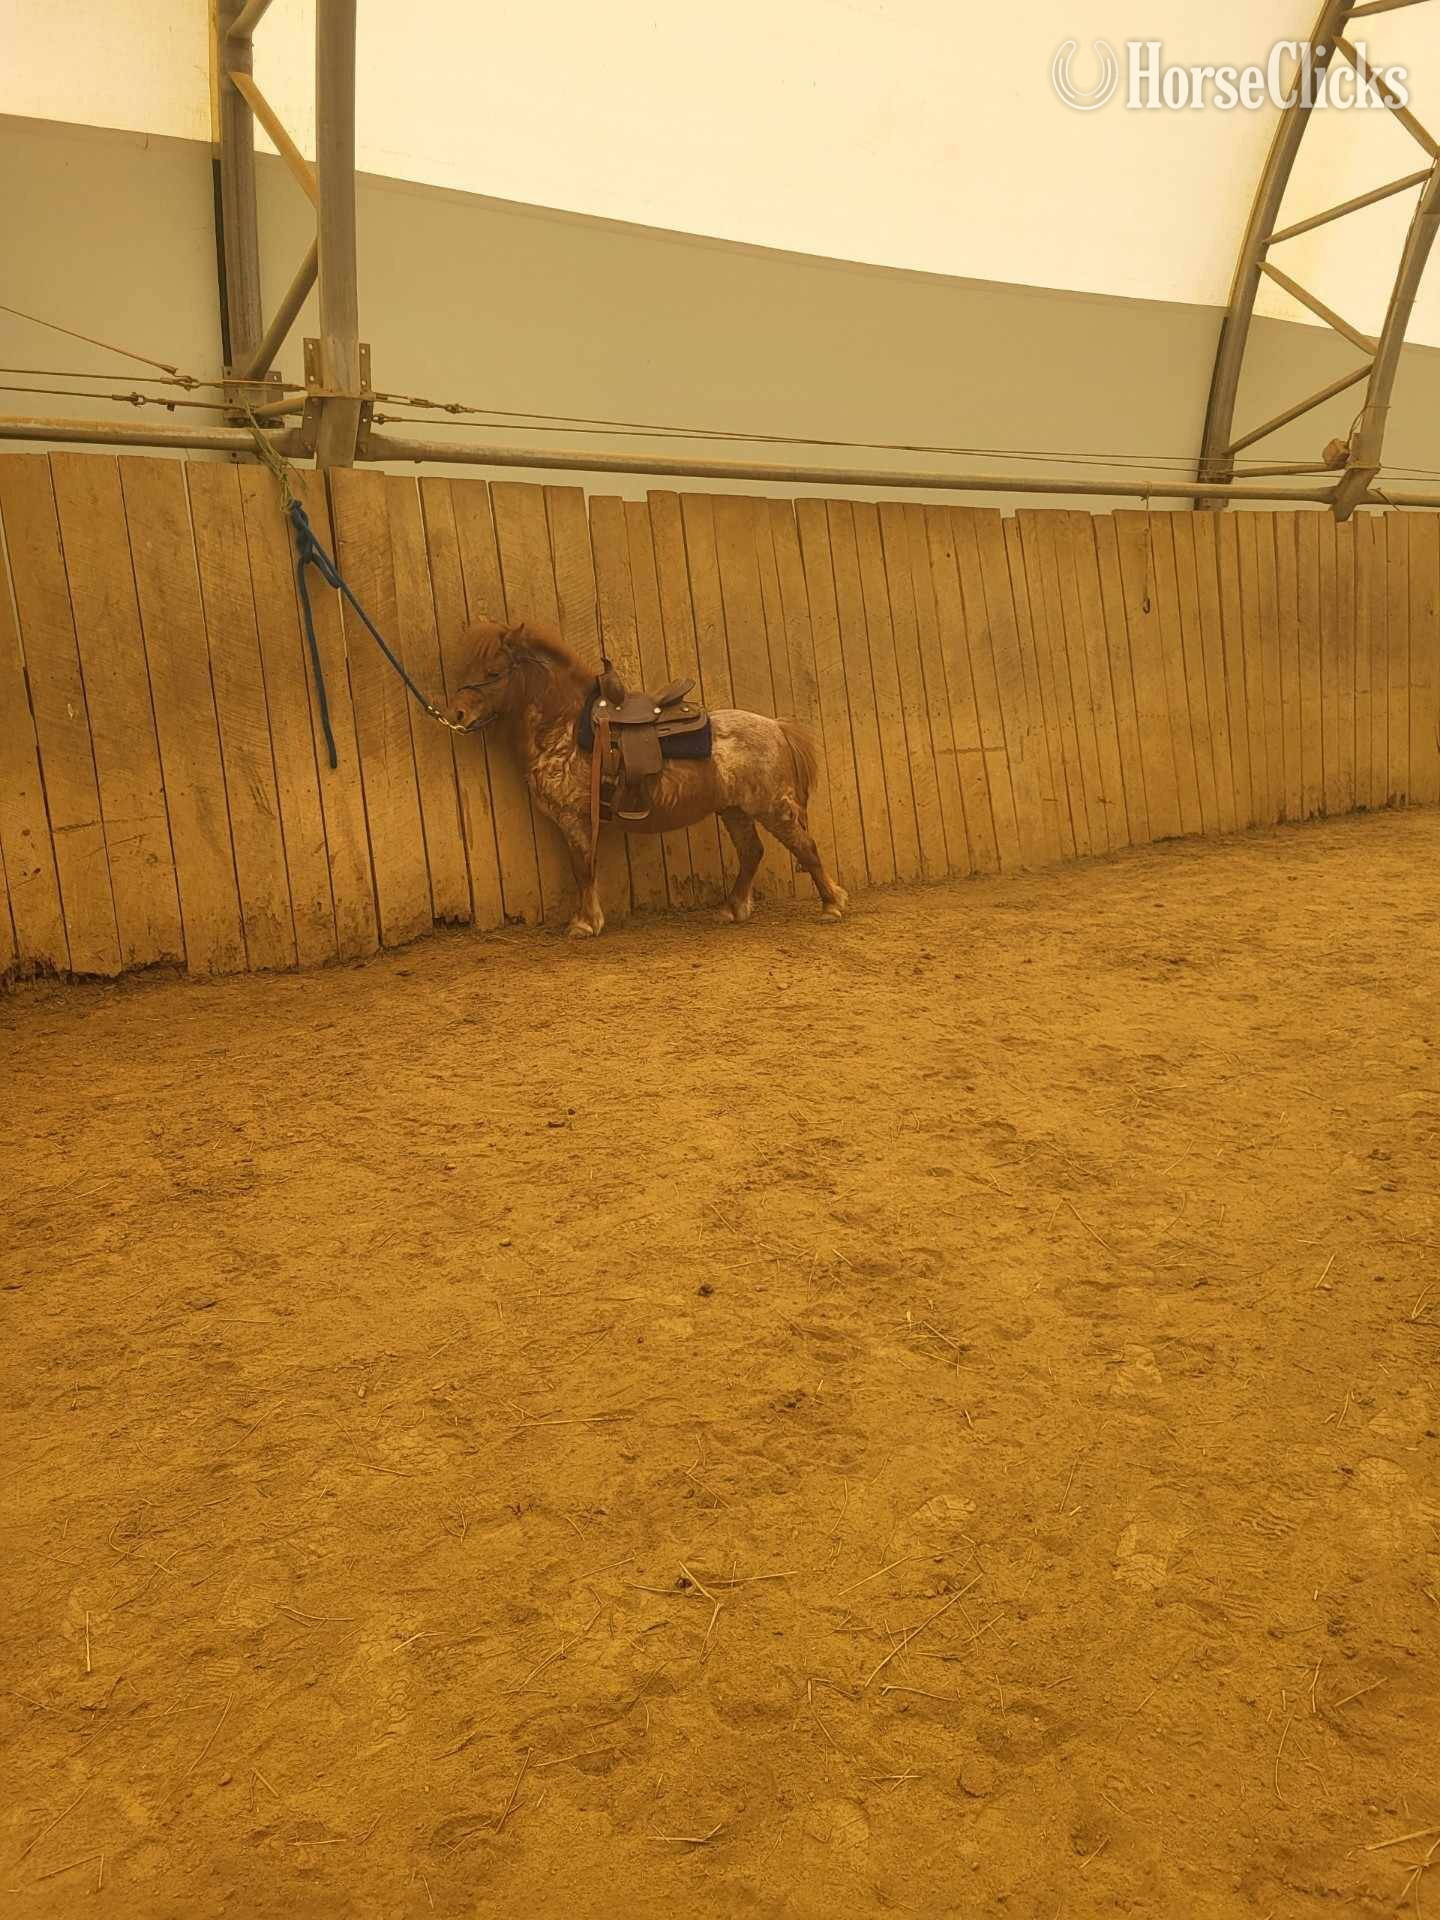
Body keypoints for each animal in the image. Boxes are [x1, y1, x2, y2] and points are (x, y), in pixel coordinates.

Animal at [449, 621, 848, 938]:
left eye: (494, 672)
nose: (457, 713)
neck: (565, 729)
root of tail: (777, 727)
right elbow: (584, 868)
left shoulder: (575, 819)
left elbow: (582, 868)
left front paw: (584, 923)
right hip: (734, 810)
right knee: (752, 852)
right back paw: (733, 908)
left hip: (773, 808)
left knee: (805, 847)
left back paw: (831, 904)